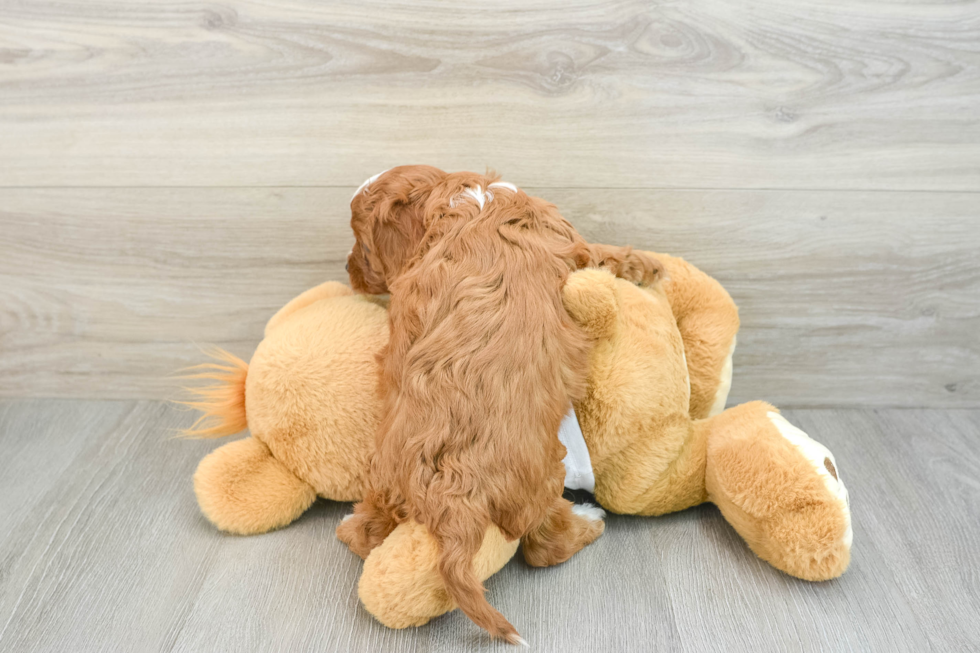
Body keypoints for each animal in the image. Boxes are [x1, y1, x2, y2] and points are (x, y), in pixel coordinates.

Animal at [338, 164, 668, 640]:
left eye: (362, 246)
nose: (347, 271)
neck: (460, 197)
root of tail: (450, 499)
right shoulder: (571, 242)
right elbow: (605, 254)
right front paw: (652, 265)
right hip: (545, 474)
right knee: (544, 545)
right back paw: (588, 520)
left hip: (384, 478)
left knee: (367, 531)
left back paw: (350, 525)